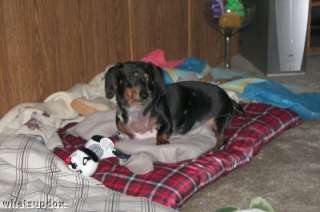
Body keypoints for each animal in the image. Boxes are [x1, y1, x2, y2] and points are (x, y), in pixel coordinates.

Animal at [105, 60, 242, 148]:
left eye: (148, 77)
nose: (145, 95)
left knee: (222, 139)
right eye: (130, 77)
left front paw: (161, 141)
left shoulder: (167, 123)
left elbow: (161, 132)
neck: (137, 110)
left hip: (219, 120)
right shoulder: (123, 131)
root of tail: (228, 98)